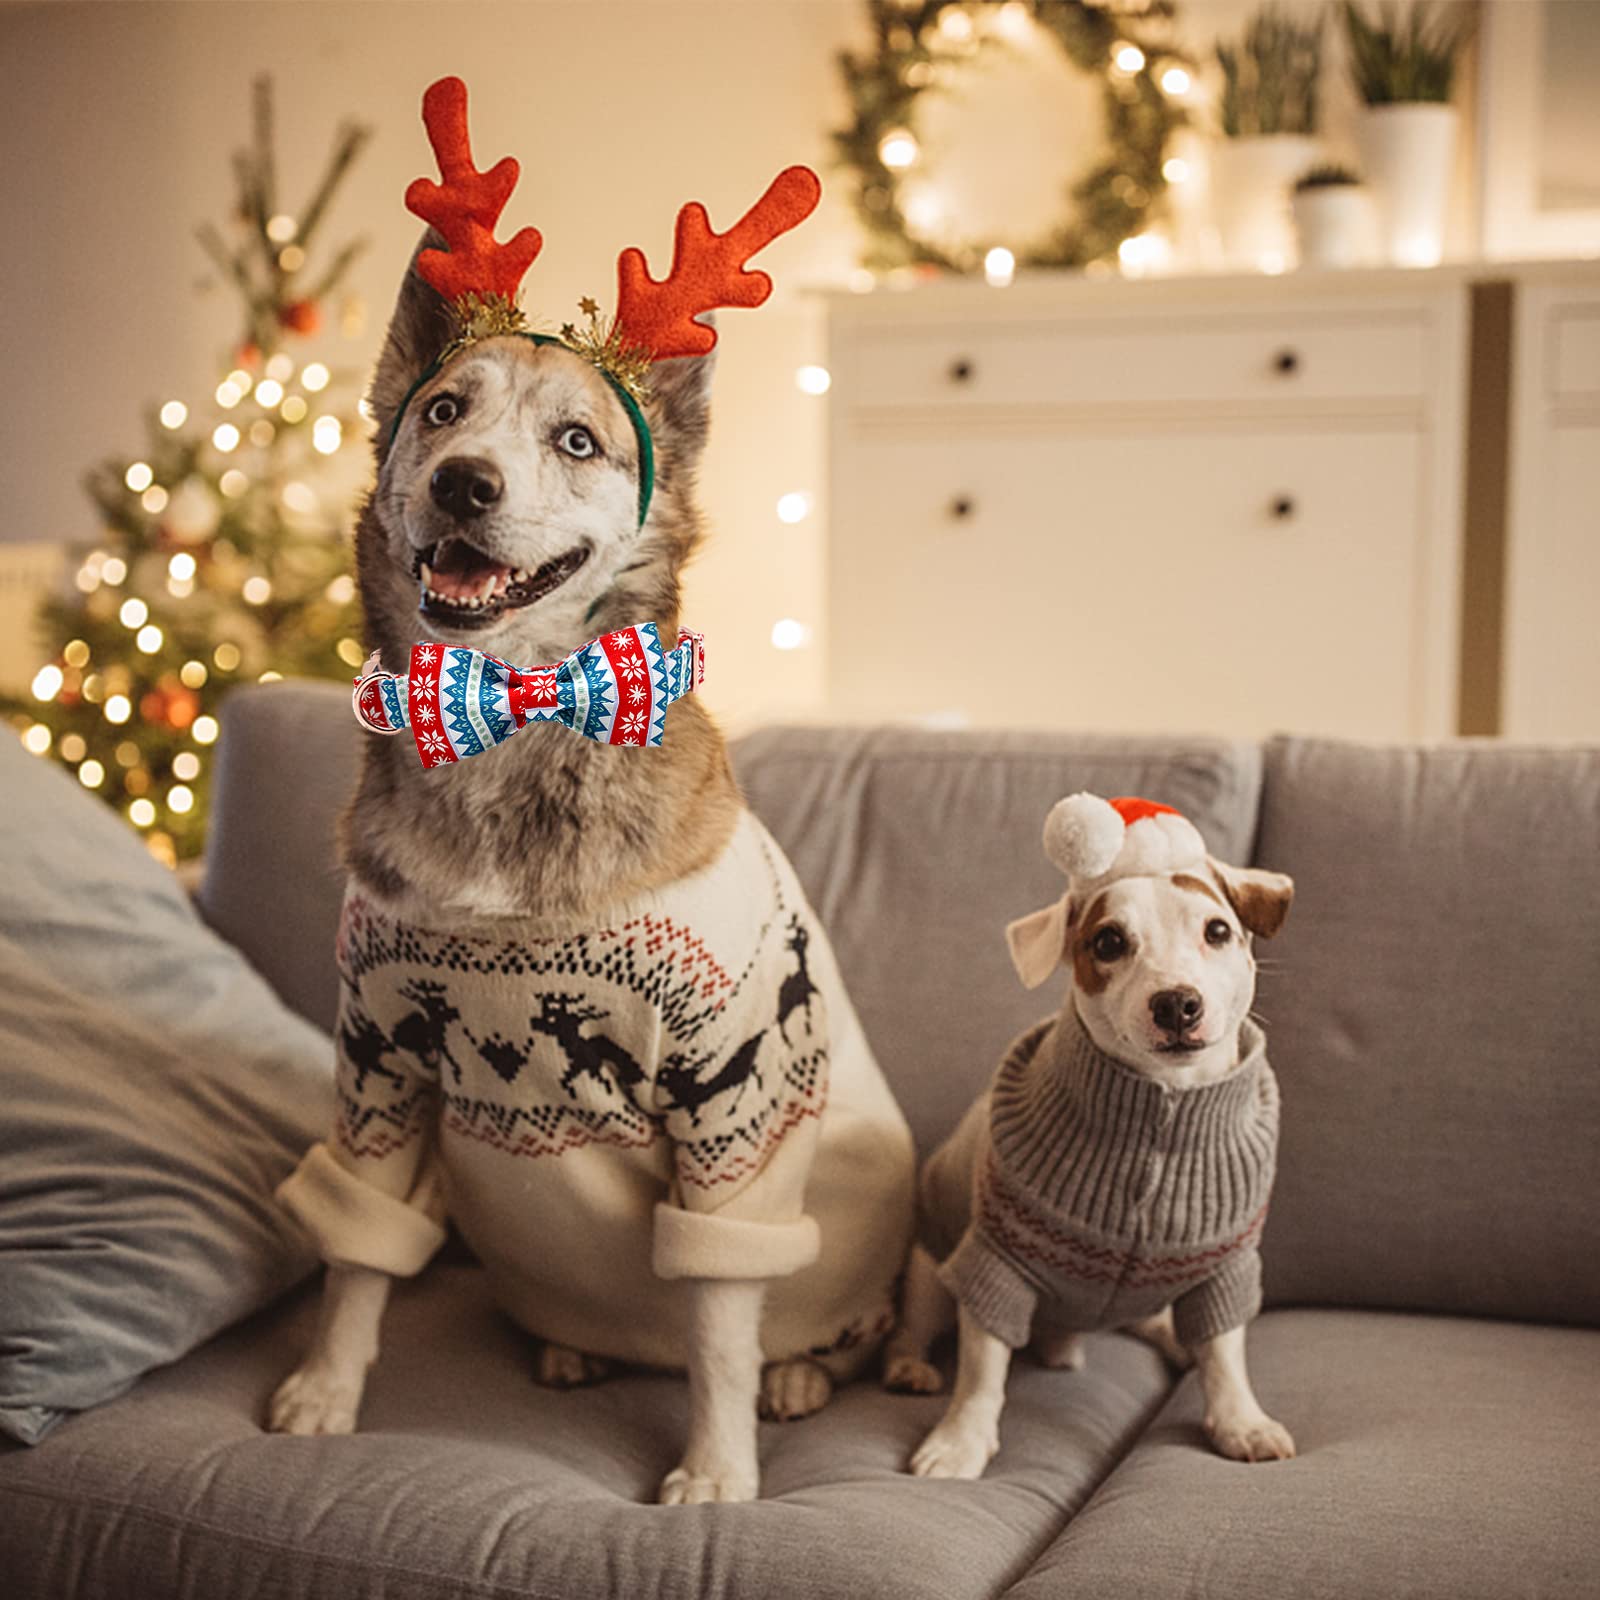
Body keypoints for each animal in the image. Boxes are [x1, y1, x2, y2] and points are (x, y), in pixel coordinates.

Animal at [889, 793, 1299, 1478]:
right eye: (1108, 941)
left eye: (1217, 931)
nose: (1176, 1002)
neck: (1162, 1111)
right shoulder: (995, 1262)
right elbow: (981, 1368)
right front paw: (960, 1440)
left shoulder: (1224, 1270)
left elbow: (1223, 1352)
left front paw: (1241, 1421)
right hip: (930, 1262)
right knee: (918, 1321)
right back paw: (909, 1365)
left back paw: (1168, 1339)